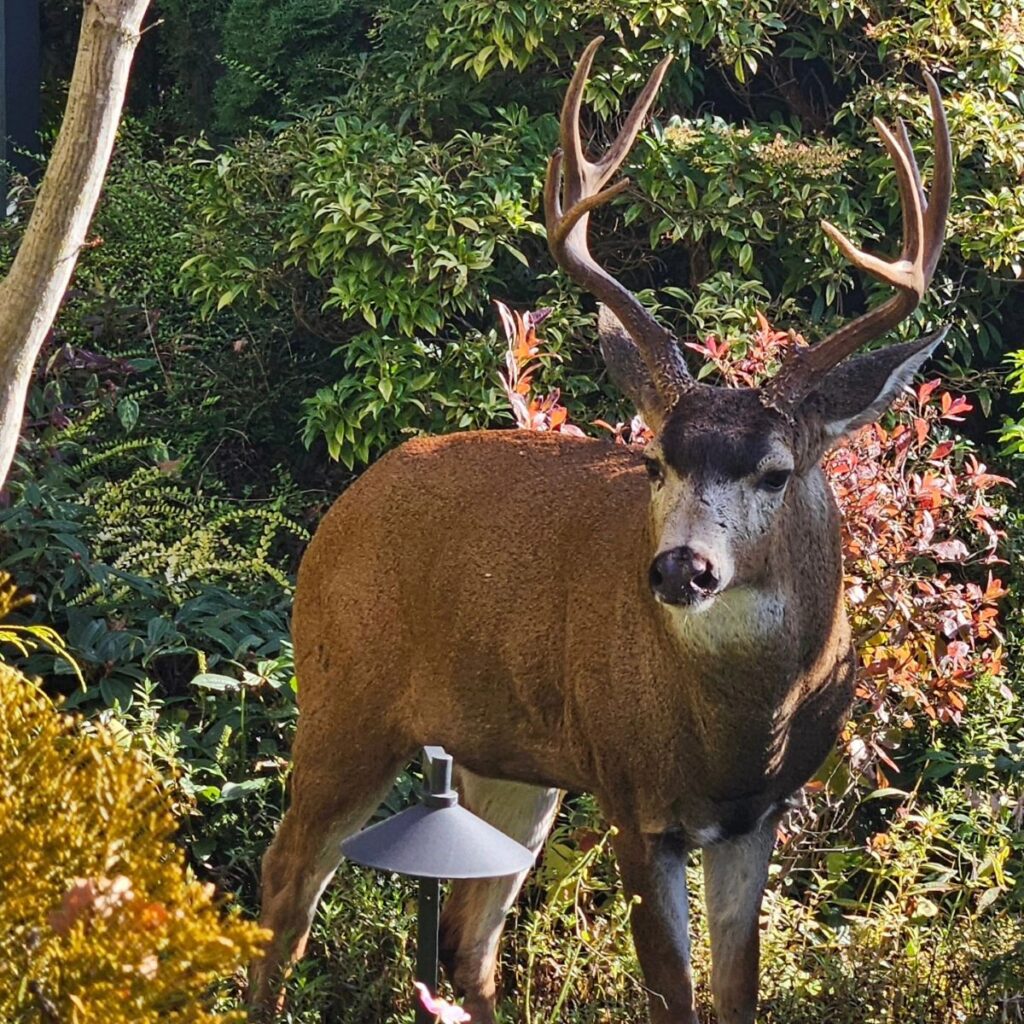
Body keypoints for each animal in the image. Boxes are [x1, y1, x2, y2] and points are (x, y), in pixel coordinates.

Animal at [250, 37, 951, 1024]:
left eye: (777, 471)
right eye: (654, 460)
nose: (683, 569)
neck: (739, 730)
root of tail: (342, 508)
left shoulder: (758, 817)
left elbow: (738, 991)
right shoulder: (634, 797)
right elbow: (674, 998)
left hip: (511, 758)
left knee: (468, 935)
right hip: (344, 699)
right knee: (287, 885)